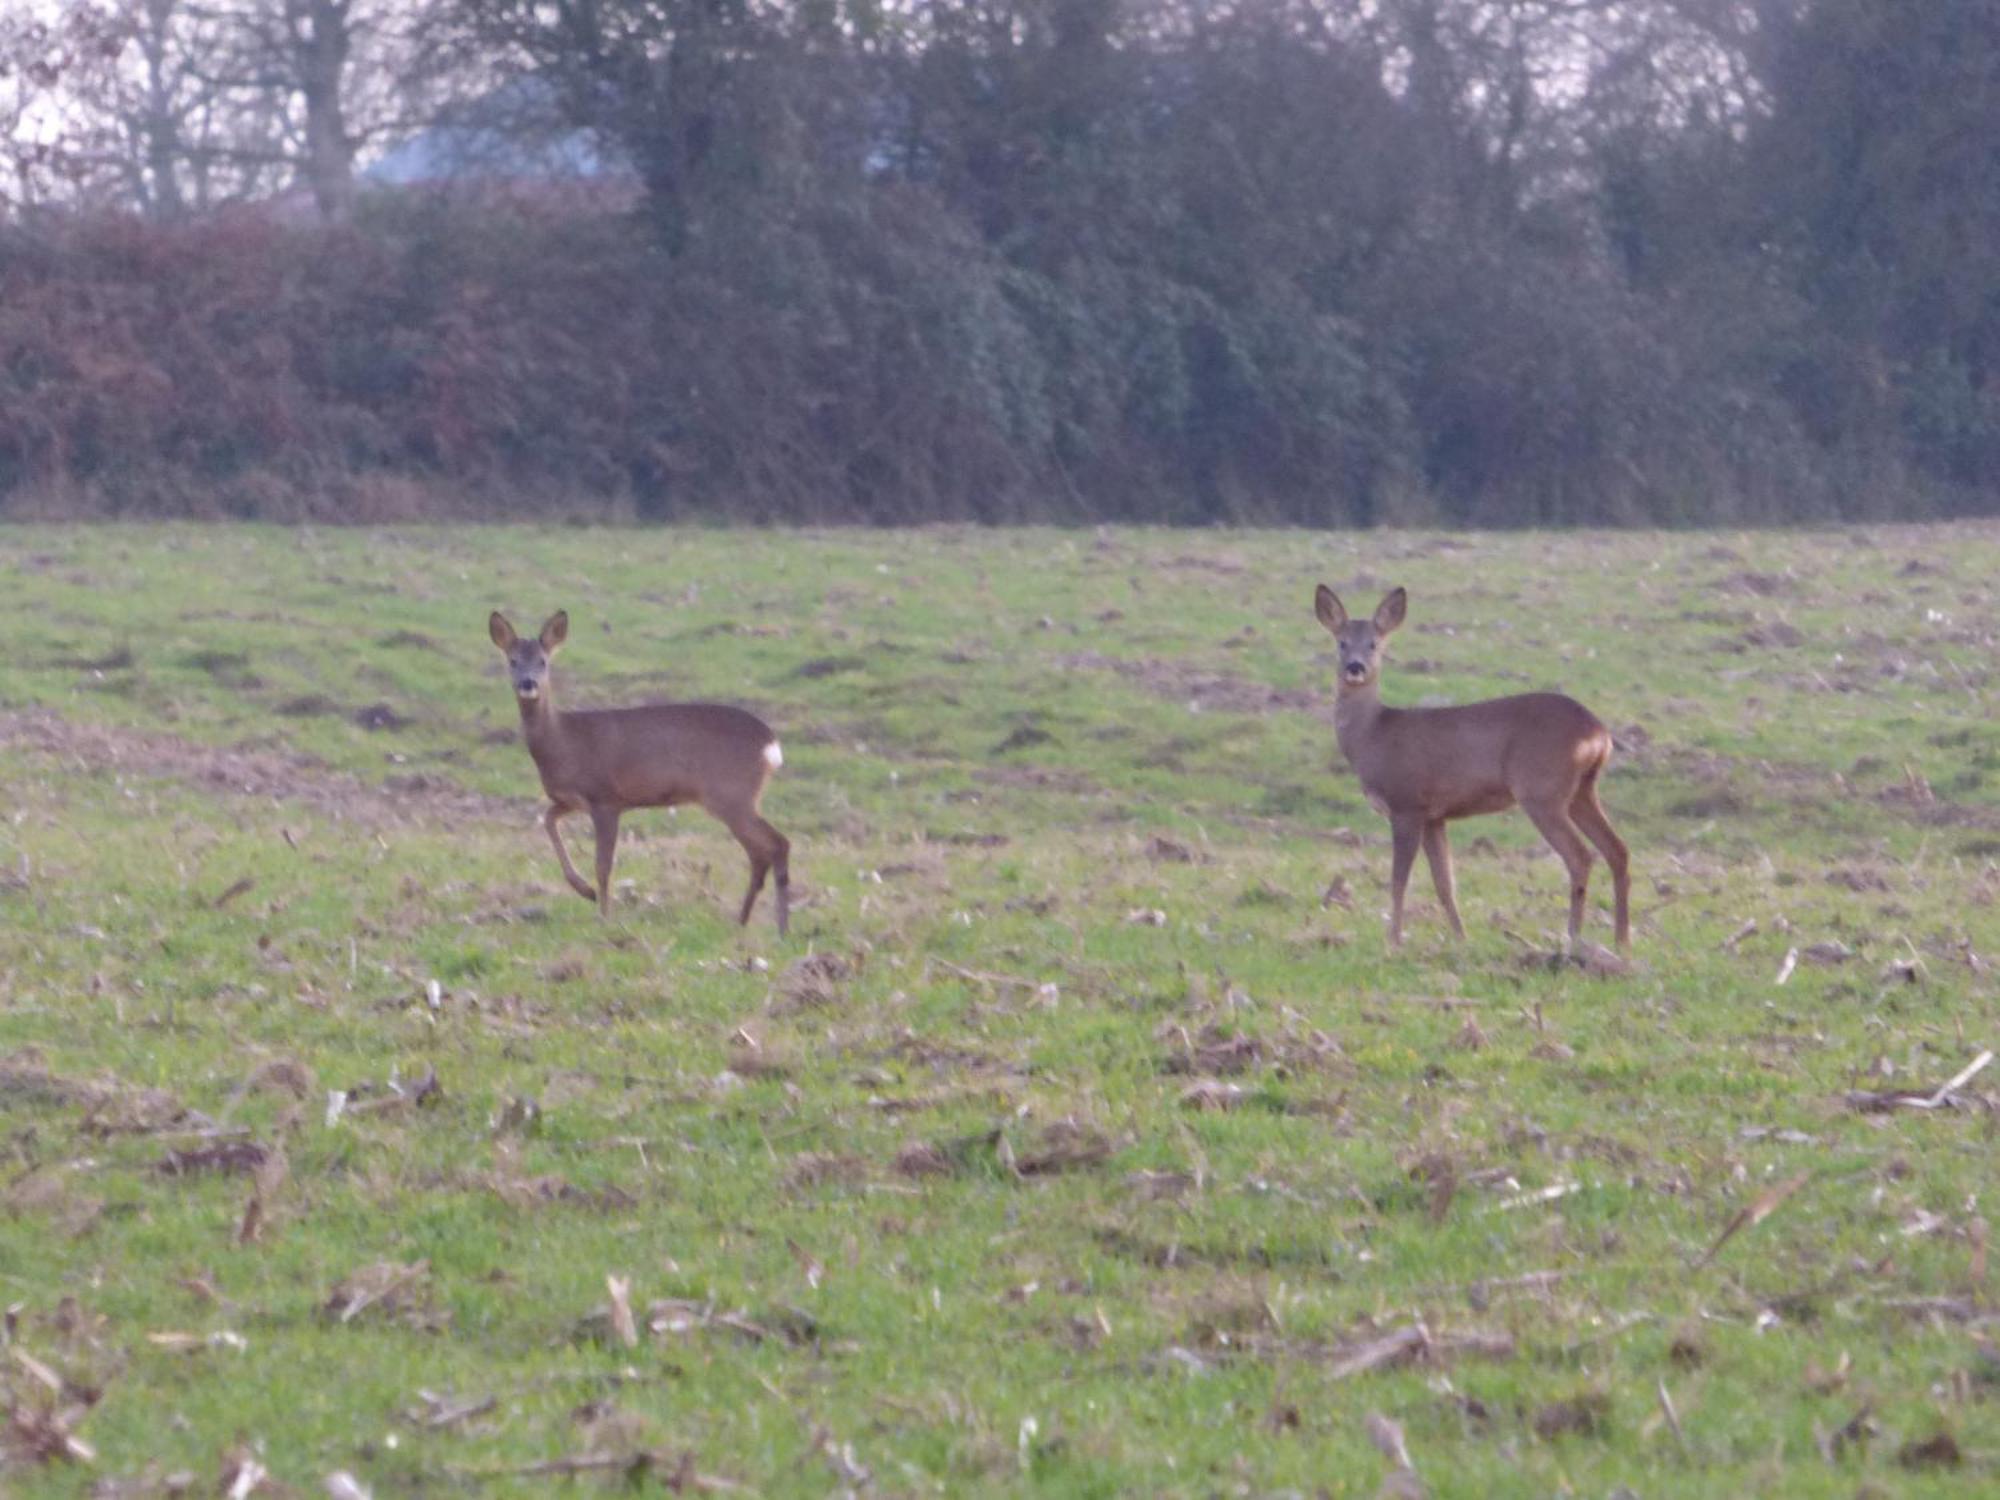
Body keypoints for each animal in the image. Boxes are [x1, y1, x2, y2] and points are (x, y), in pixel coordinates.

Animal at [488, 612, 792, 940]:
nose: (528, 683)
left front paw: (604, 916)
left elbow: (603, 864)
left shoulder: (606, 799)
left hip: (732, 794)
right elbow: (547, 820)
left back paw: (781, 928)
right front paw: (584, 890)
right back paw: (743, 921)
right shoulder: (571, 800)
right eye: (512, 660)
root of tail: (771, 744)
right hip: (735, 799)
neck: (563, 741)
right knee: (759, 853)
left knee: (778, 844)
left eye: (543, 661)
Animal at [1312, 584, 1624, 952]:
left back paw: (1573, 937)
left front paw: (1394, 940)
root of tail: (1598, 732)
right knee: (1617, 849)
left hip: (1542, 789)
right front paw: (1461, 938)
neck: (1373, 735)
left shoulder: (1407, 803)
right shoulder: (1435, 816)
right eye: (1341, 642)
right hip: (1582, 790)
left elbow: (1399, 879)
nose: (1355, 667)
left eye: (1374, 643)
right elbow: (1444, 881)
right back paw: (1621, 940)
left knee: (1580, 855)